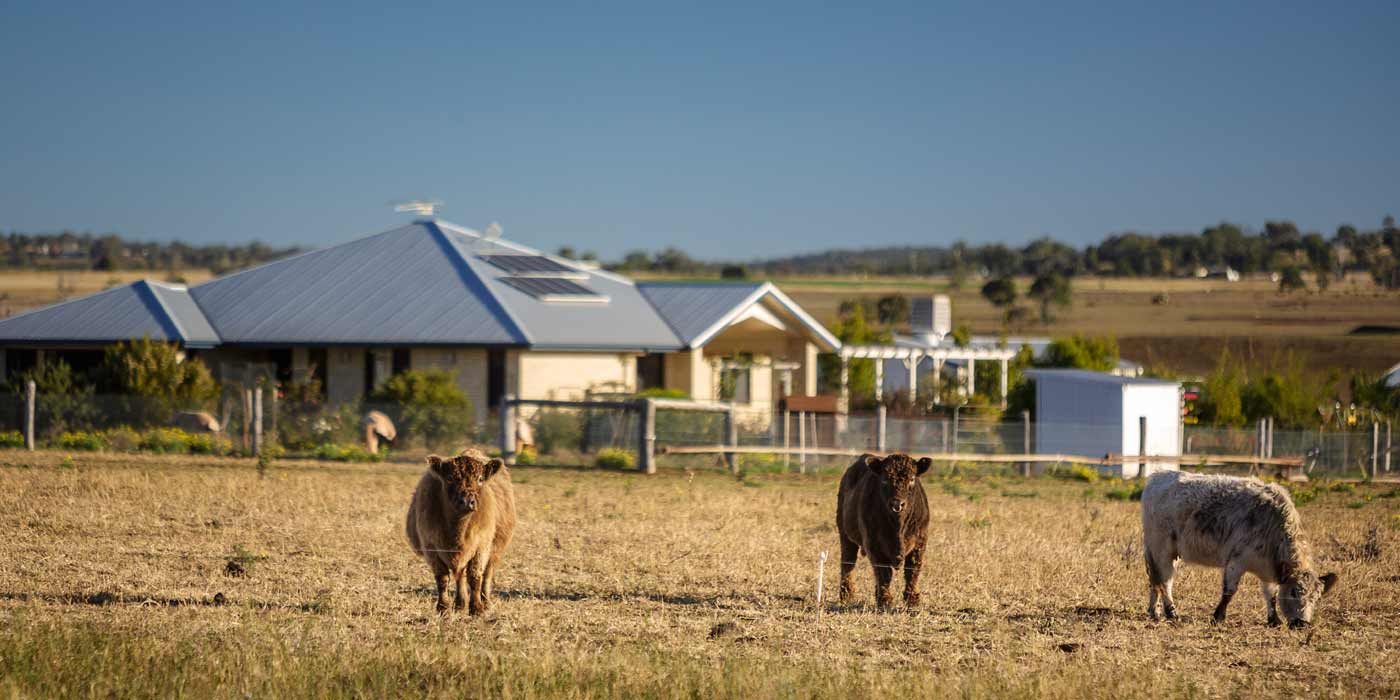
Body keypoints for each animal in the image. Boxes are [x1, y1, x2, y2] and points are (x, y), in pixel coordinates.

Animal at [405, 452, 516, 614]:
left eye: (480, 479)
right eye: (450, 478)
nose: (467, 501)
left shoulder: (481, 546)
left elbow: (475, 577)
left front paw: (477, 608)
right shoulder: (430, 547)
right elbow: (442, 578)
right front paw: (443, 608)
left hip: (495, 550)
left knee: (487, 574)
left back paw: (485, 602)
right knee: (460, 576)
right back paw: (460, 604)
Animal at [836, 453, 933, 609]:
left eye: (912, 479)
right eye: (884, 479)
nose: (897, 503)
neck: (898, 526)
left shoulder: (920, 542)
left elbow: (912, 570)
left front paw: (912, 600)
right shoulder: (874, 545)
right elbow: (884, 573)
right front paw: (885, 600)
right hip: (845, 535)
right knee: (848, 563)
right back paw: (846, 594)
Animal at [1141, 470, 1339, 628]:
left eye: (1317, 597)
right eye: (1293, 592)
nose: (1302, 624)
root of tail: (1158, 476)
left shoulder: (1268, 569)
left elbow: (1271, 594)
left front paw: (1274, 620)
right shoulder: (1236, 561)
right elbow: (1229, 591)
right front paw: (1218, 617)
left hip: (1165, 553)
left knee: (1155, 581)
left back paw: (1154, 612)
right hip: (1161, 549)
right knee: (1164, 581)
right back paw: (1172, 613)